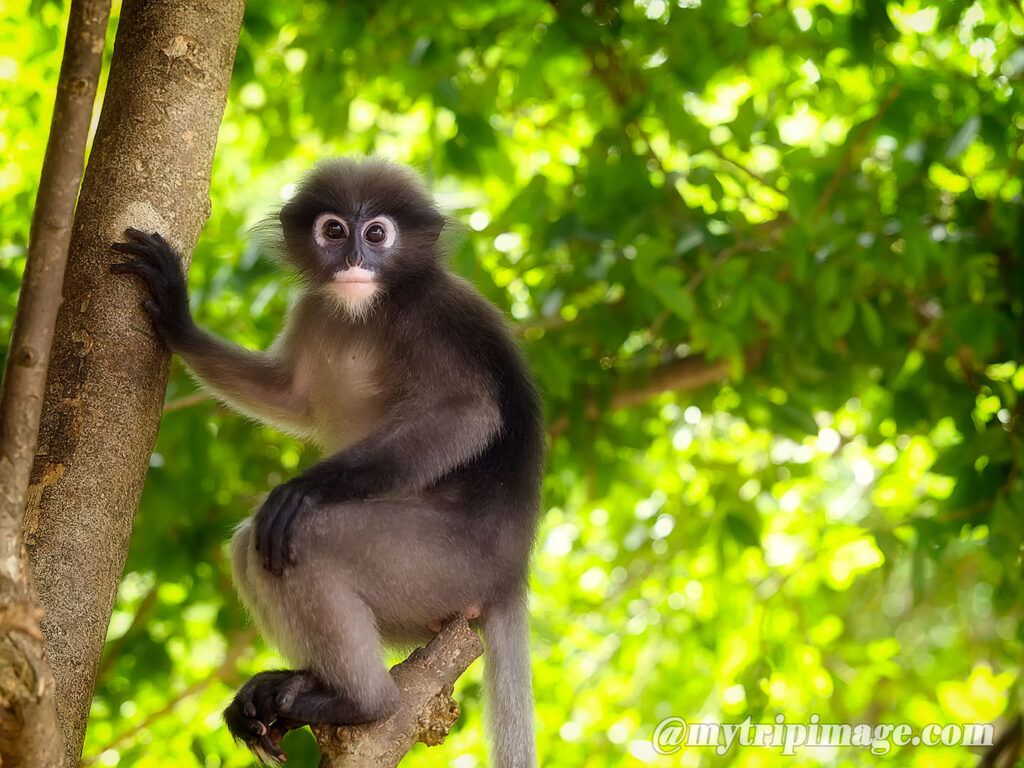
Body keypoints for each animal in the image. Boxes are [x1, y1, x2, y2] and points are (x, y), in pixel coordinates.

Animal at [110, 158, 545, 767]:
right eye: (334, 231)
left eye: (377, 234)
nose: (355, 259)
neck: (367, 308)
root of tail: (511, 574)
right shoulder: (315, 310)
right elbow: (289, 397)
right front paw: (177, 318)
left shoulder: (429, 317)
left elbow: (469, 415)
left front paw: (304, 489)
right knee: (251, 548)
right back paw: (291, 692)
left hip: (439, 565)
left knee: (297, 540)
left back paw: (362, 703)